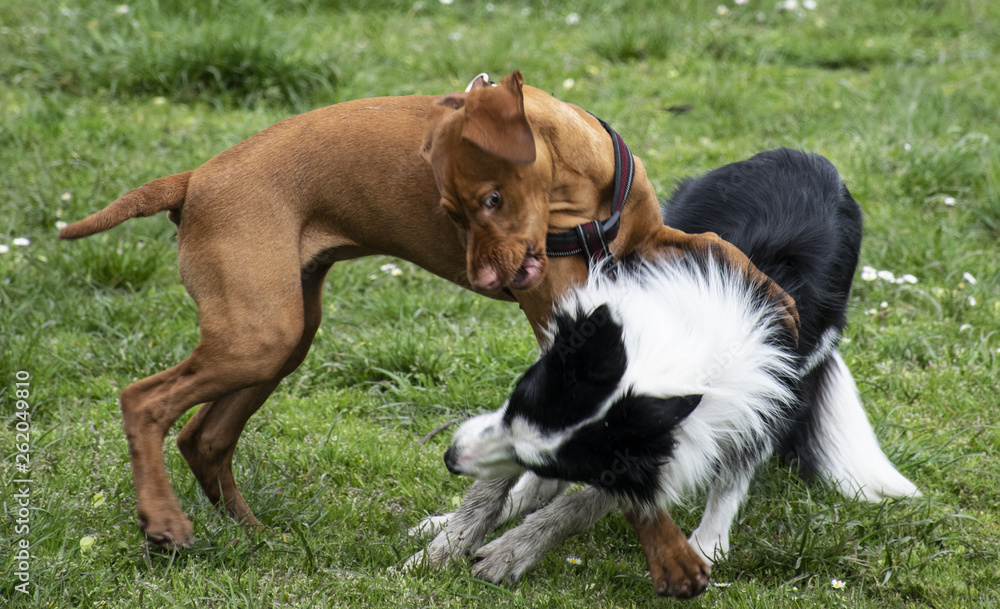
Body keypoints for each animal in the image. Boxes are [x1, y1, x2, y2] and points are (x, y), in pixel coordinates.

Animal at [62, 70, 796, 592]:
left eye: (493, 199)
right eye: (451, 211)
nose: (486, 276)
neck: (581, 195)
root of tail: (193, 179)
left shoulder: (647, 236)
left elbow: (715, 244)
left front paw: (779, 299)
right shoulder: (557, 326)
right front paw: (664, 551)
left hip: (281, 336)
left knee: (204, 436)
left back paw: (253, 535)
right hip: (258, 334)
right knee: (144, 400)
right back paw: (164, 521)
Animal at [408, 147, 920, 584]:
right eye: (516, 401)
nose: (450, 459)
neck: (678, 345)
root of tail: (814, 159)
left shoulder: (681, 431)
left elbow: (585, 502)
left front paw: (510, 551)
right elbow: (497, 482)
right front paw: (448, 541)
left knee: (740, 464)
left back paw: (710, 541)